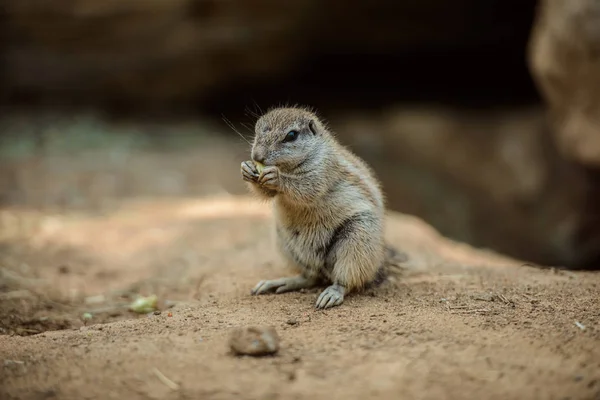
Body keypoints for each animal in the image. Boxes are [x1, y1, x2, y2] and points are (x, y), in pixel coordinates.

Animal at [240, 105, 404, 310]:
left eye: (291, 135)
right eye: (256, 128)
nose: (257, 156)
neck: (289, 166)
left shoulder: (323, 170)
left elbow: (307, 188)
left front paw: (276, 177)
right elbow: (267, 193)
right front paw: (246, 169)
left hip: (358, 239)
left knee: (346, 279)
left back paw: (332, 293)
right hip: (285, 243)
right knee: (310, 277)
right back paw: (280, 282)